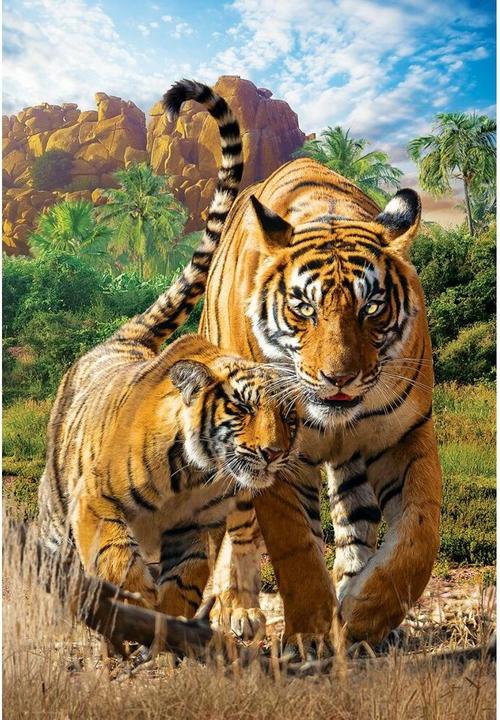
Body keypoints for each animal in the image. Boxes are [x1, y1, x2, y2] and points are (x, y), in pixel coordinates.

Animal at [36, 80, 298, 619]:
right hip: (56, 504)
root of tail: (123, 339)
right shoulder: (96, 502)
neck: (197, 476)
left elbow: (185, 582)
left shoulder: (198, 529)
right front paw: (132, 605)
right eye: (242, 408)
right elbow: (118, 561)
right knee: (57, 553)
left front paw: (168, 620)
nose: (273, 454)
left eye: (289, 417)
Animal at [165, 80, 442, 648]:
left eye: (371, 307)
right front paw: (311, 637)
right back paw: (237, 609)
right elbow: (296, 550)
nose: (339, 379)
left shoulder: (407, 434)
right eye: (303, 308)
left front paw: (364, 617)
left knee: (356, 522)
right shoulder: (272, 455)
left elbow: (417, 537)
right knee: (237, 528)